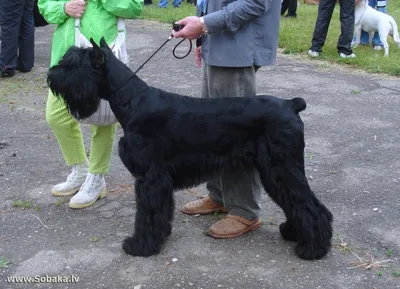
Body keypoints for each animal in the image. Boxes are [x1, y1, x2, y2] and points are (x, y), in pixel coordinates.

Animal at [47, 37, 334, 260]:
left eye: (72, 64)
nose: (51, 76)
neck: (133, 102)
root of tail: (291, 104)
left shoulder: (150, 178)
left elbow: (147, 214)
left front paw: (140, 246)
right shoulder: (156, 180)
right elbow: (159, 213)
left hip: (281, 168)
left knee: (311, 206)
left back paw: (313, 249)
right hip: (277, 171)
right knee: (297, 203)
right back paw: (294, 233)